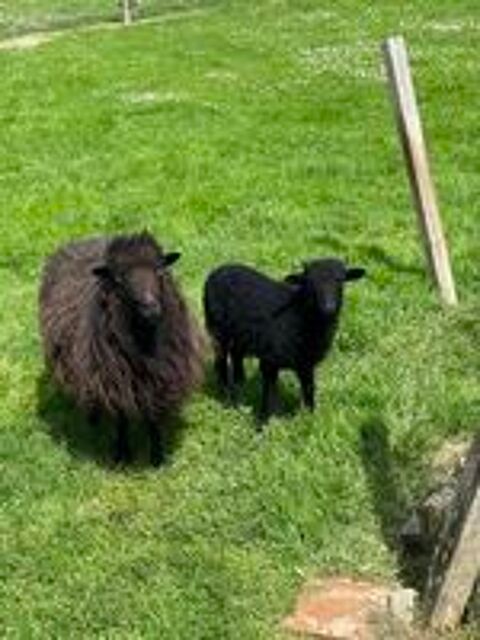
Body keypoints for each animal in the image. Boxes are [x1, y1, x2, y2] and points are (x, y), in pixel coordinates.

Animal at [39, 232, 204, 466]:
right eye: (118, 279)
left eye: (160, 271)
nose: (151, 310)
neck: (144, 345)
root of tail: (86, 238)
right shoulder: (114, 380)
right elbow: (122, 420)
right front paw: (122, 454)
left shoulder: (162, 378)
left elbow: (153, 418)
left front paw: (157, 457)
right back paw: (93, 420)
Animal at [203, 259, 365, 424]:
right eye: (310, 283)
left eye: (340, 281)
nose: (328, 308)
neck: (299, 317)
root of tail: (222, 267)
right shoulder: (269, 360)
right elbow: (268, 394)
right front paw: (262, 422)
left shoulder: (306, 363)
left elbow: (309, 388)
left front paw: (310, 418)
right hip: (217, 329)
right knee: (221, 359)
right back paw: (225, 392)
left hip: (241, 333)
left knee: (236, 353)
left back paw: (240, 383)